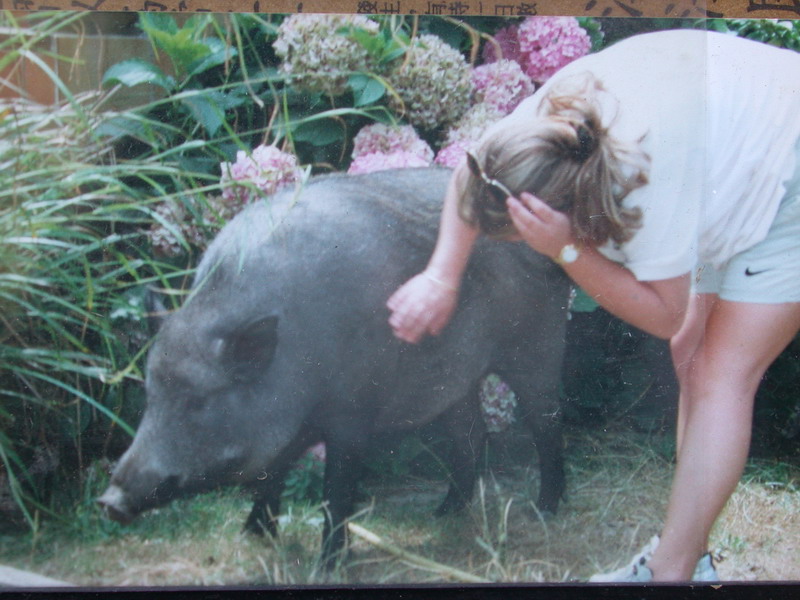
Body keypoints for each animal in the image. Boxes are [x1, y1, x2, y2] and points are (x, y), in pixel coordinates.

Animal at [100, 166, 572, 564]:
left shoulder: (353, 410)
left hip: (538, 342)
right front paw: (254, 535)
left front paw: (328, 564)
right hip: (456, 379)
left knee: (547, 422)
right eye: (150, 394)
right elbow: (274, 472)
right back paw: (443, 514)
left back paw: (545, 510)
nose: (110, 501)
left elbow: (337, 488)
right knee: (470, 435)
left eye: (197, 401)